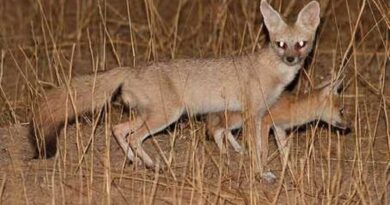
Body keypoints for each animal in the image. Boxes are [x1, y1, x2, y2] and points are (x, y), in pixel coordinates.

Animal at [30, 0, 320, 173]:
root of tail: (130, 68)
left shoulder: (260, 114)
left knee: (118, 129)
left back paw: (139, 161)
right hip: (165, 116)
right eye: (281, 44)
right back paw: (150, 163)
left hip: (149, 116)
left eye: (300, 44)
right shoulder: (252, 114)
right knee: (132, 136)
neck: (271, 69)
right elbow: (257, 149)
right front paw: (261, 172)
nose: (291, 59)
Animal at [206, 77, 348, 171]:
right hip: (236, 121)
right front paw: (262, 167)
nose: (349, 126)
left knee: (225, 131)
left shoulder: (278, 128)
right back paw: (224, 152)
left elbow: (284, 151)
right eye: (342, 110)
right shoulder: (266, 123)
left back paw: (238, 148)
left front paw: (289, 169)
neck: (292, 106)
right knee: (217, 130)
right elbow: (264, 149)